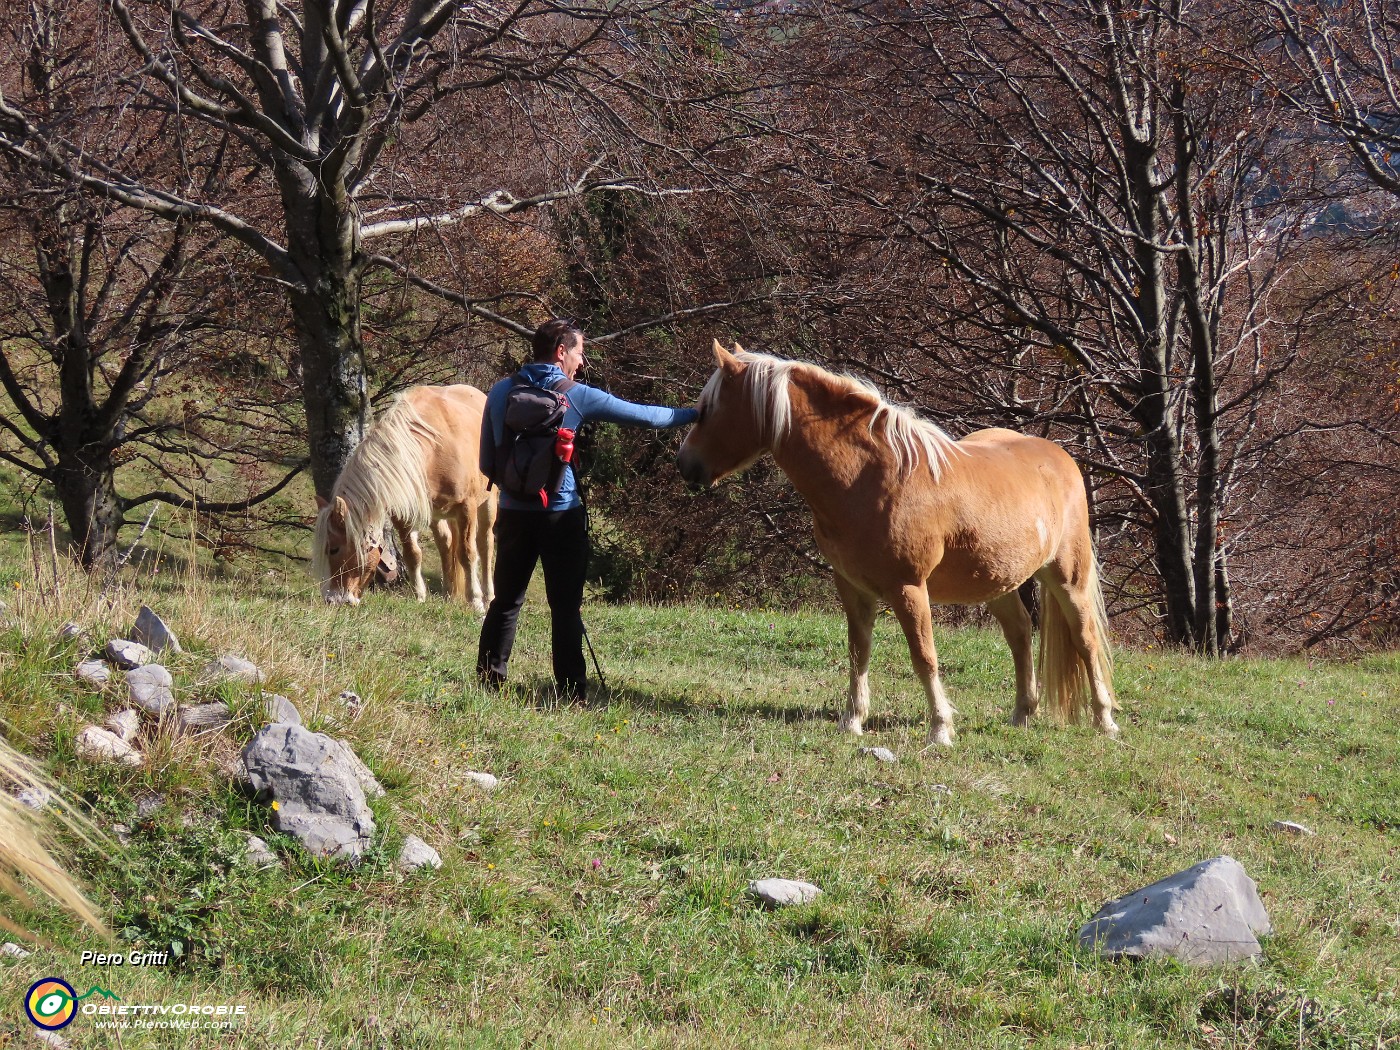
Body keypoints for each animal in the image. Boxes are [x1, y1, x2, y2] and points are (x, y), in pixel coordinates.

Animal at [313, 384, 497, 610]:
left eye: (334, 549)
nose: (333, 599)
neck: (431, 450)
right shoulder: (404, 516)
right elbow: (412, 555)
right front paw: (419, 597)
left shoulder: (466, 508)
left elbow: (468, 554)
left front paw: (476, 602)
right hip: (437, 515)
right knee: (445, 545)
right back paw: (448, 595)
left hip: (487, 503)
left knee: (485, 544)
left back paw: (488, 597)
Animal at [677, 341, 1118, 747]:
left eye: (707, 409)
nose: (685, 466)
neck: (872, 477)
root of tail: (1058, 455)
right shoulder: (852, 587)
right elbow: (859, 652)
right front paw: (853, 722)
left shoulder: (908, 588)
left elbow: (924, 657)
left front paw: (940, 730)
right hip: (997, 581)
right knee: (1021, 633)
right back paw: (1022, 715)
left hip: (1067, 578)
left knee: (1086, 640)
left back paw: (1105, 721)